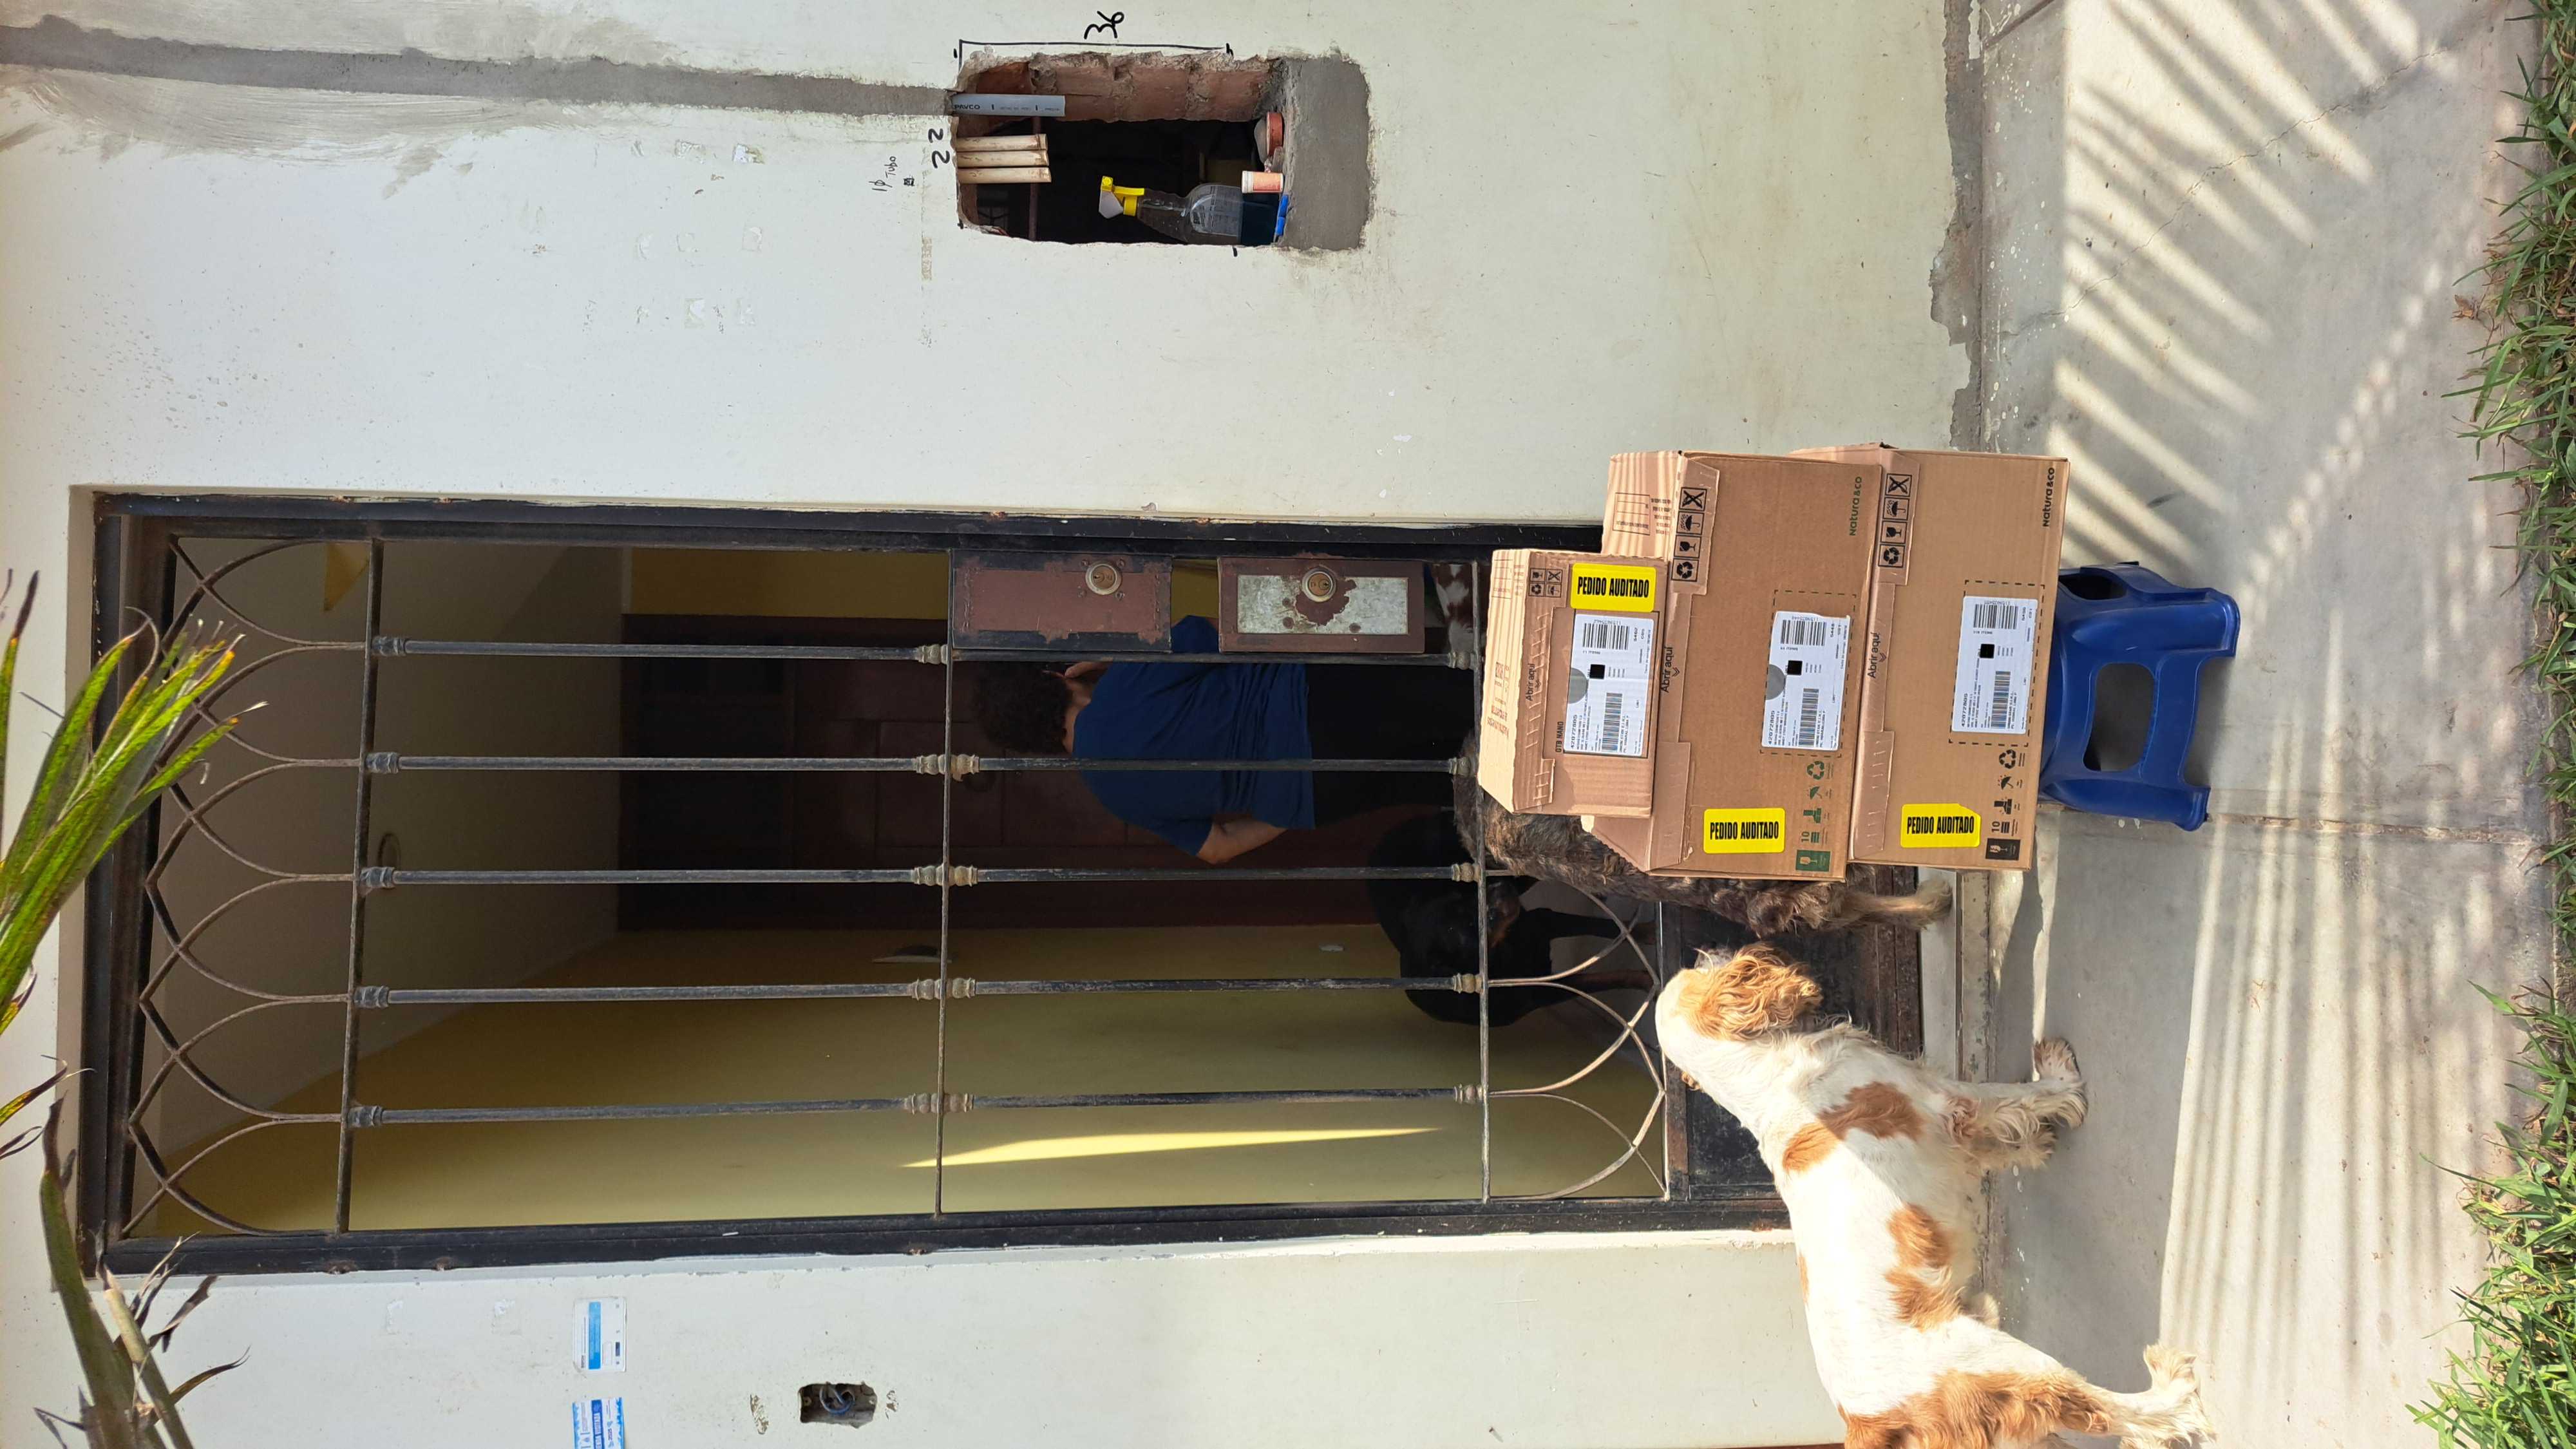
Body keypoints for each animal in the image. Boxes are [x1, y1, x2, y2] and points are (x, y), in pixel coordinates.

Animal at [1366, 813, 1644, 1026]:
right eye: (1473, 926)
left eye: (1468, 898)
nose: (1501, 887)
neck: (1501, 954)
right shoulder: (1543, 989)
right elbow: (1607, 977)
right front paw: (1646, 979)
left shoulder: (1541, 921)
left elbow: (1603, 928)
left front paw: (1645, 936)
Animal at [1656, 944, 2215, 1449]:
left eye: (1698, 966)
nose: (1709, 948)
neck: (1762, 1081)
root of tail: (1868, 1423)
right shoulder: (1948, 1101)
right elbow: (2018, 1097)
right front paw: (2062, 1080)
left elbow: (1996, 1145)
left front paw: (2033, 1146)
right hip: (2006, 1363)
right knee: (2112, 1413)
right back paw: (2173, 1390)